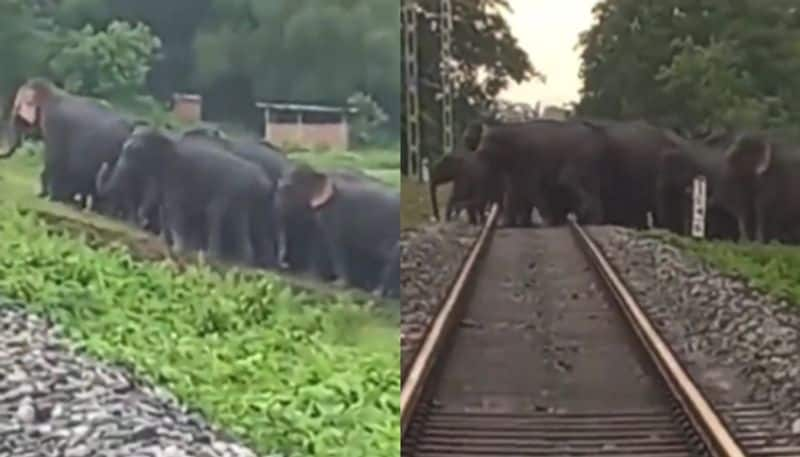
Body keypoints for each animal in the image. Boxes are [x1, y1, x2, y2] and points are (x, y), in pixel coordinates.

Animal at [0, 77, 134, 208]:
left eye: (17, 107)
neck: (52, 93)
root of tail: (130, 129)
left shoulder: (55, 123)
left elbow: (54, 157)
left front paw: (46, 197)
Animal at [96, 125, 278, 268]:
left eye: (130, 151)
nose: (104, 164)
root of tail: (264, 182)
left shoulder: (178, 177)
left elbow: (173, 209)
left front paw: (178, 249)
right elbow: (164, 207)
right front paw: (164, 240)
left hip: (233, 192)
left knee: (215, 213)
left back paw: (213, 256)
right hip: (247, 202)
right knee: (241, 223)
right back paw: (246, 261)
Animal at [276, 163, 400, 296]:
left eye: (287, 187)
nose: (284, 265)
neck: (321, 172)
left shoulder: (334, 213)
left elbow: (336, 246)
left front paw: (338, 284)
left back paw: (377, 293)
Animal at [472, 119, 608, 226]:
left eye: (485, 144)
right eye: (481, 141)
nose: (477, 151)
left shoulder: (528, 160)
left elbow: (530, 189)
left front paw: (547, 221)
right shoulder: (516, 166)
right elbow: (513, 191)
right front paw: (508, 222)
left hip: (580, 160)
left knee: (576, 184)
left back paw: (590, 219)